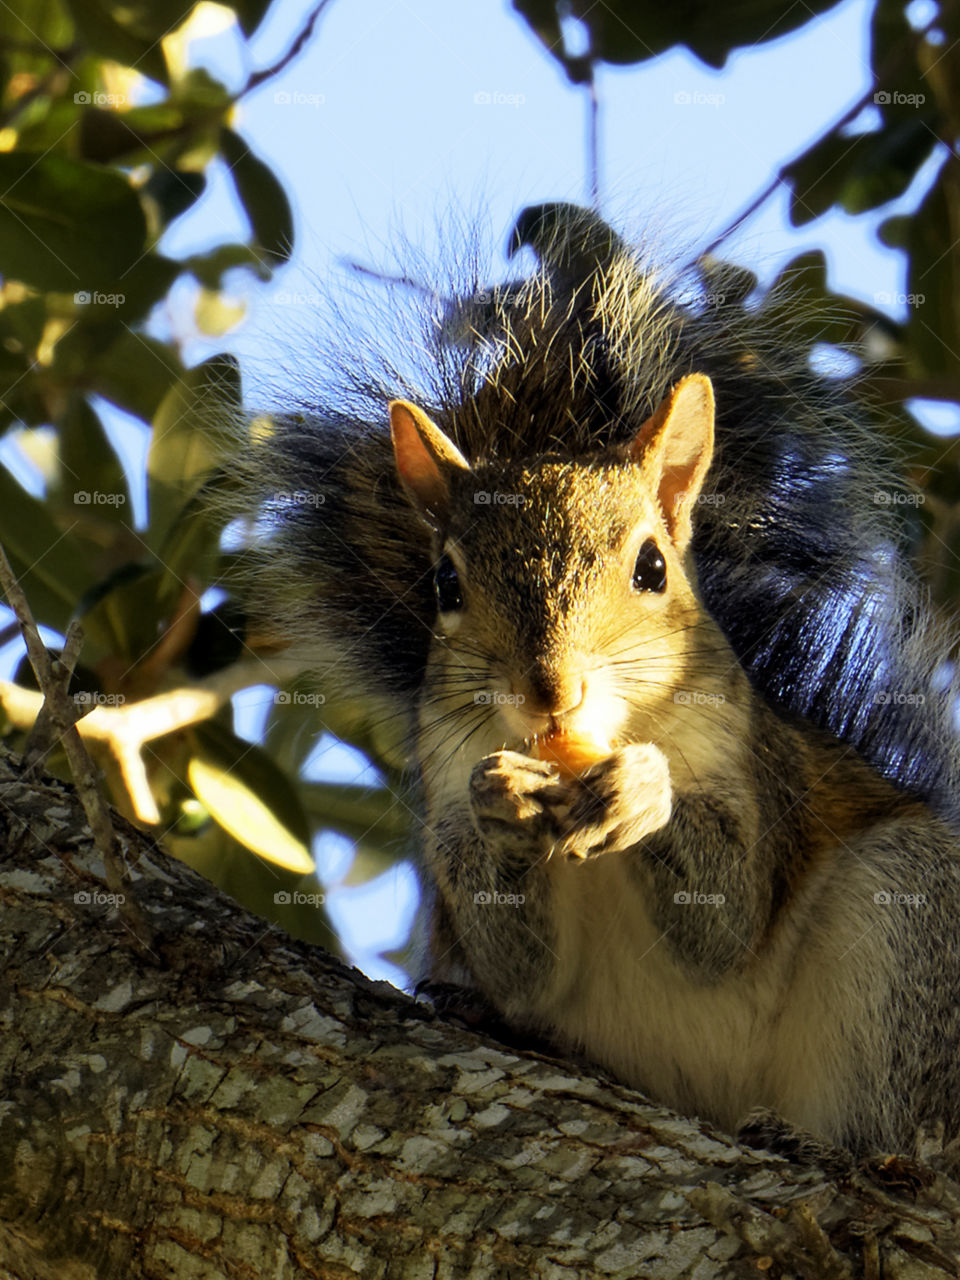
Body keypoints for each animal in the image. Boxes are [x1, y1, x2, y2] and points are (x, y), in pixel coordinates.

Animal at [228, 202, 960, 1158]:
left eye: (653, 568)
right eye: (445, 585)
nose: (550, 692)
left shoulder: (758, 775)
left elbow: (727, 919)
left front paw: (643, 793)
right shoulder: (446, 808)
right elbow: (518, 966)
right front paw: (505, 801)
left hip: (908, 913)